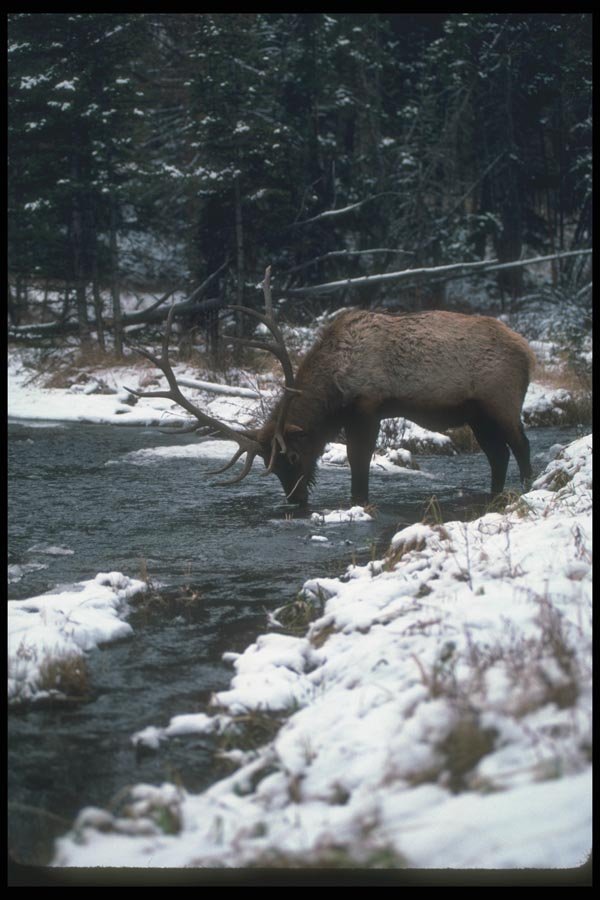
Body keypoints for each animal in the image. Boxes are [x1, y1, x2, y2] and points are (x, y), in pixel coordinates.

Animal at [127, 270, 536, 506]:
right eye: (270, 466)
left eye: (292, 456)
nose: (294, 502)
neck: (334, 387)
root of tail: (529, 353)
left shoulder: (368, 407)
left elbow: (359, 461)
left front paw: (359, 501)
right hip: (477, 414)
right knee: (497, 454)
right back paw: (495, 494)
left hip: (501, 401)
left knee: (520, 445)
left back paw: (529, 487)